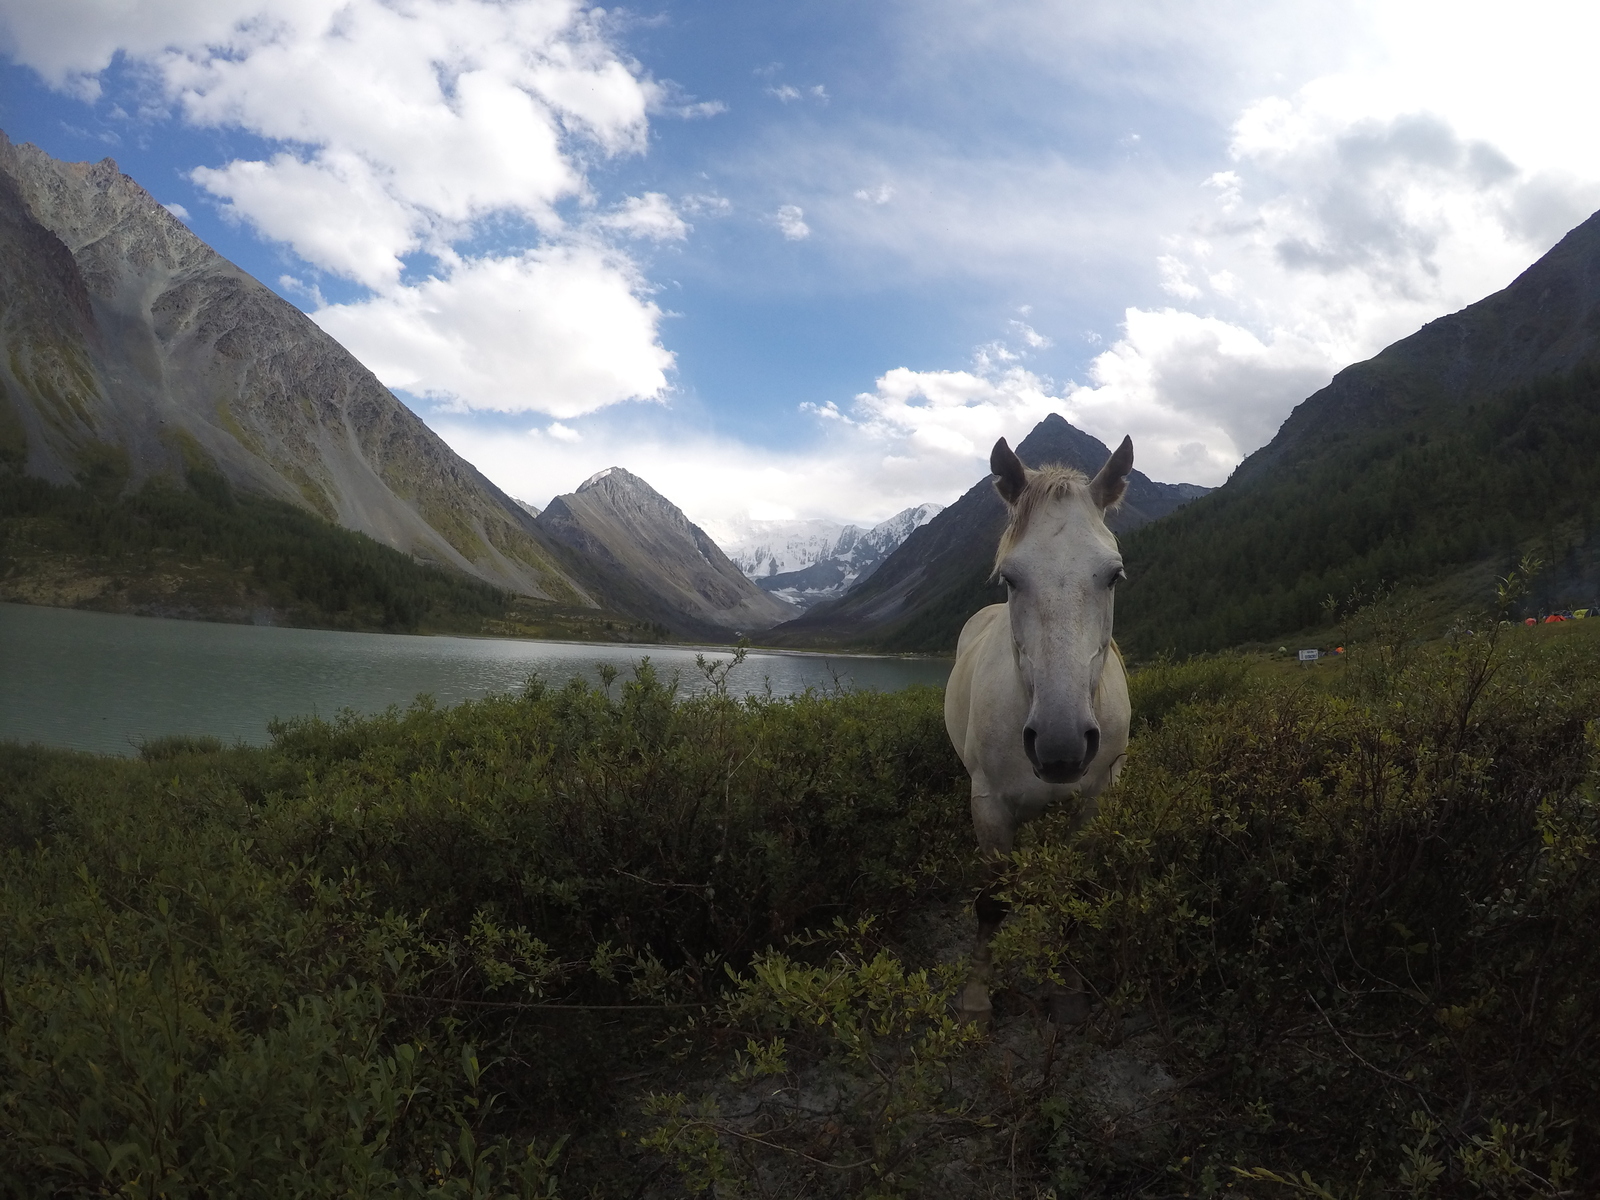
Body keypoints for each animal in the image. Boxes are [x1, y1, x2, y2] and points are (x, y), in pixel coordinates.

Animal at [940, 432, 1132, 1024]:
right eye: (1010, 577)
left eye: (1113, 575)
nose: (1061, 745)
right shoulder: (989, 805)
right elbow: (991, 901)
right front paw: (977, 994)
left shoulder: (1095, 801)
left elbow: (1073, 887)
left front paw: (1068, 987)